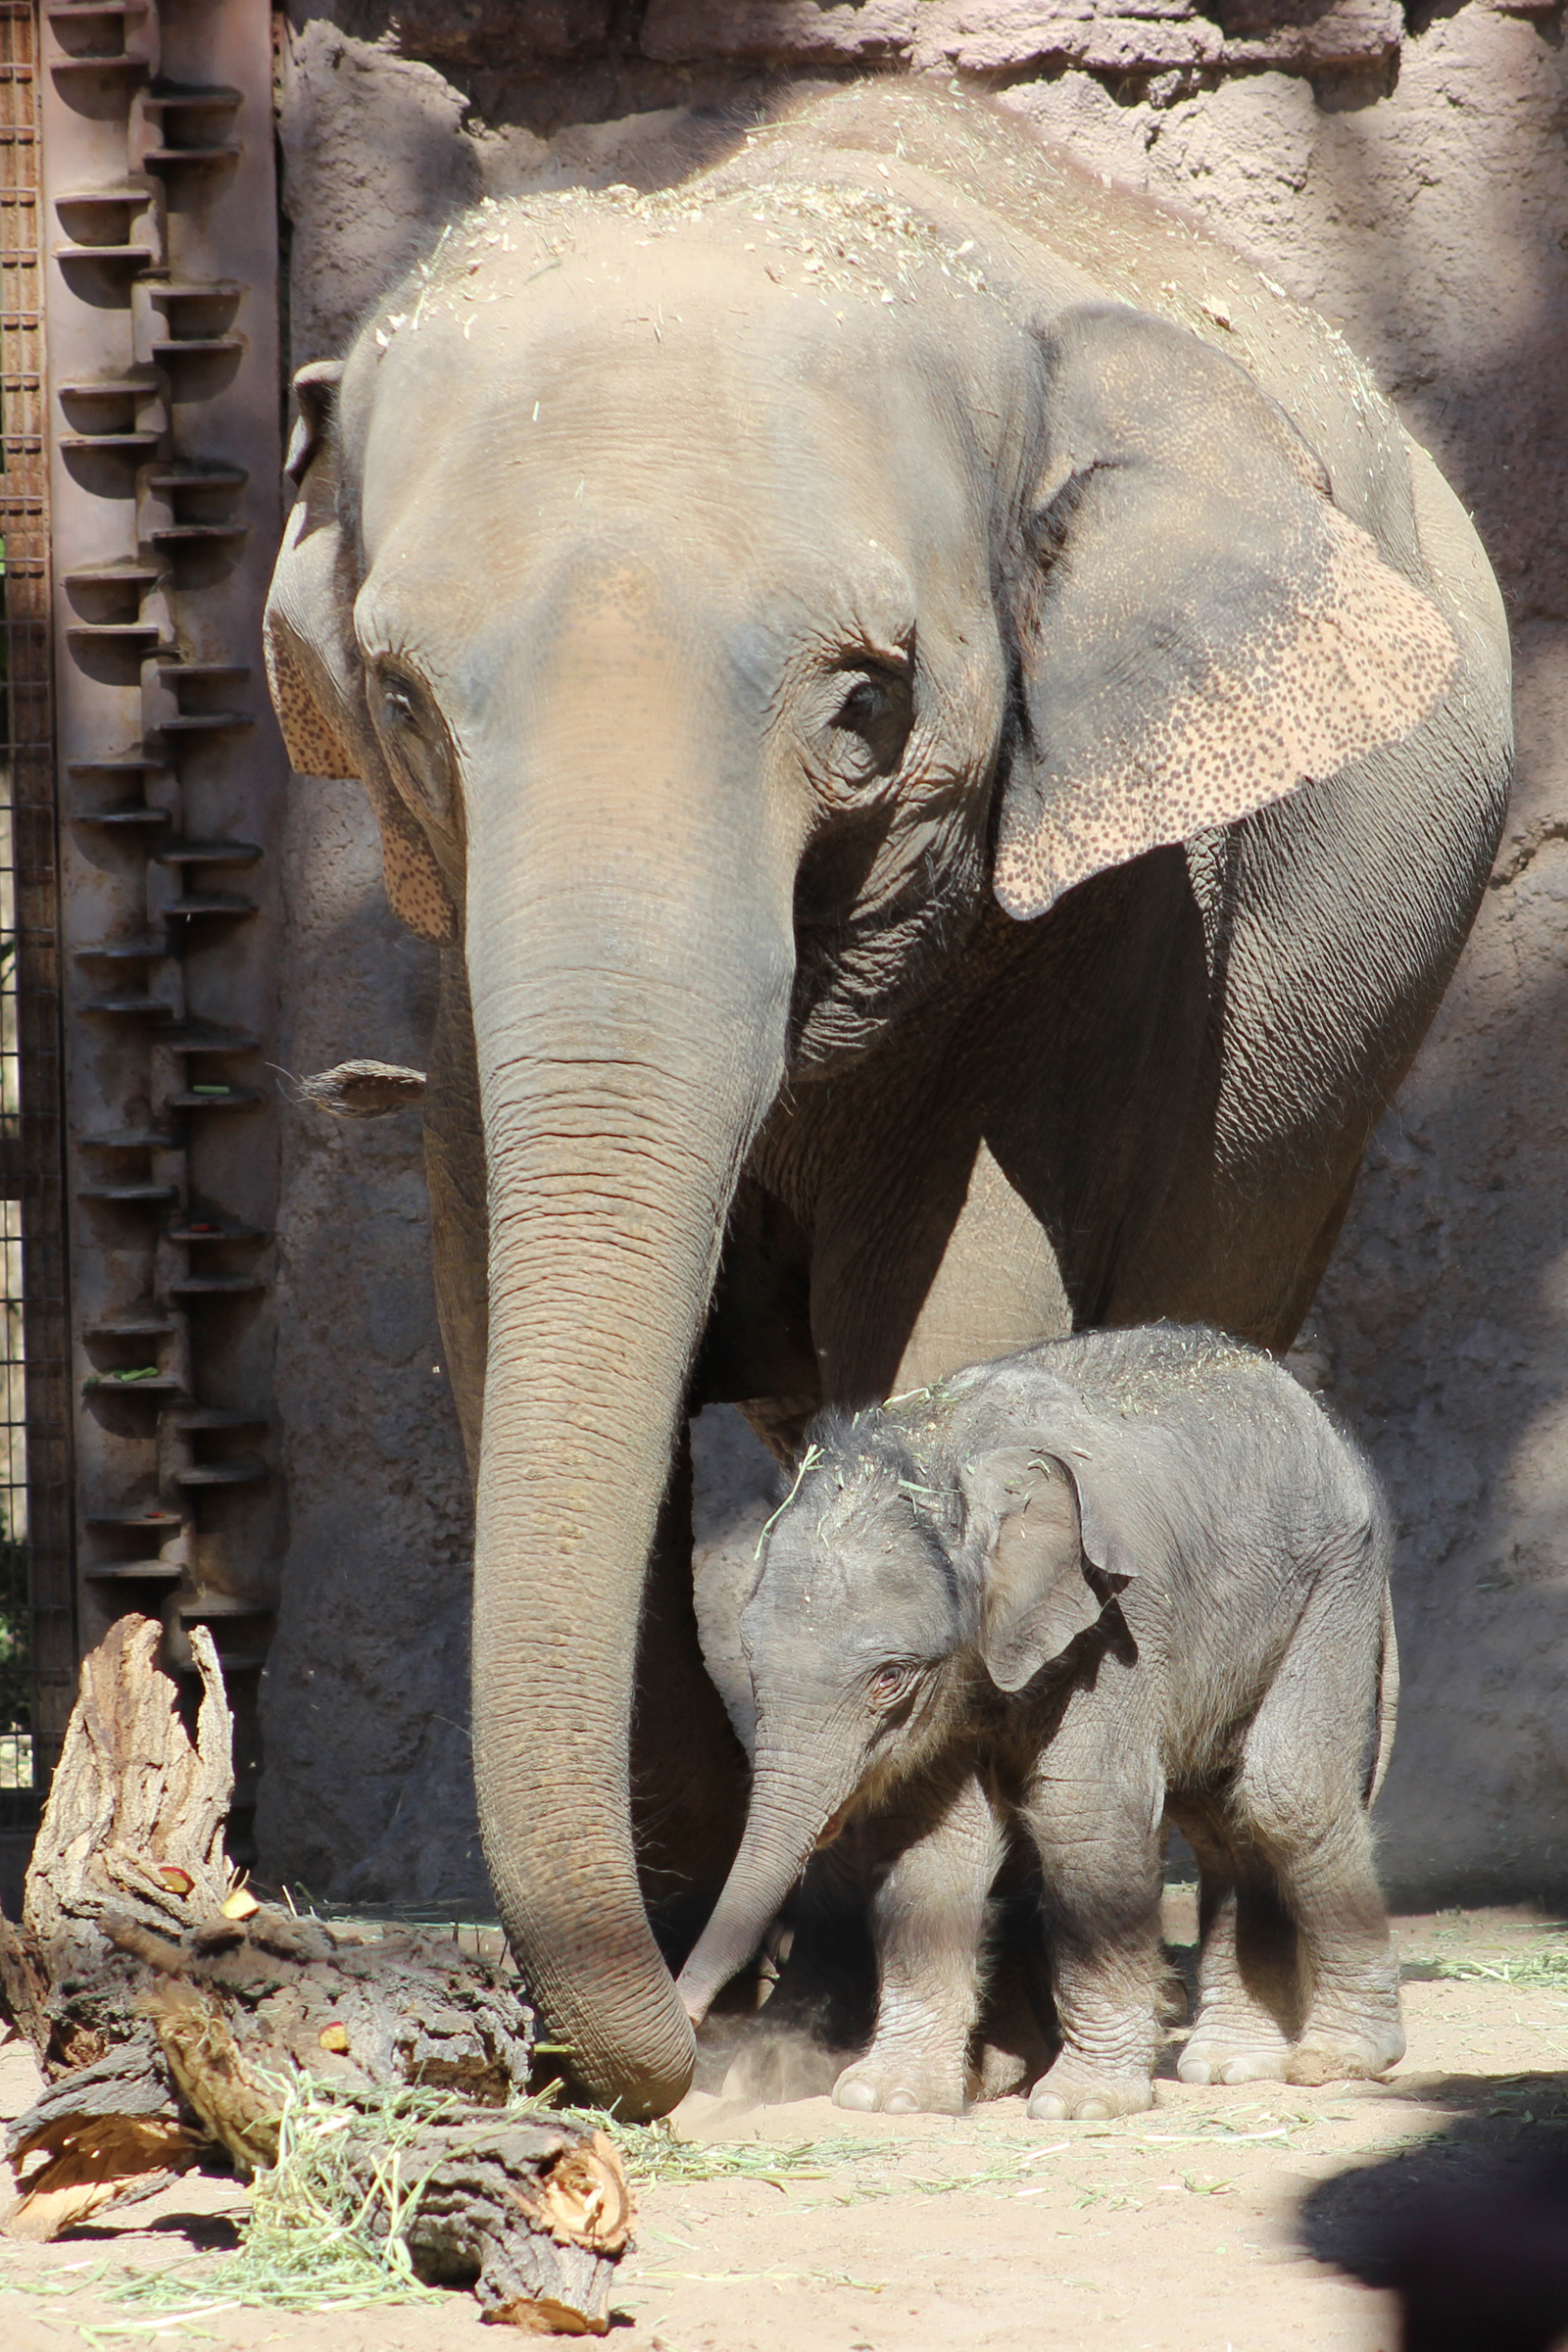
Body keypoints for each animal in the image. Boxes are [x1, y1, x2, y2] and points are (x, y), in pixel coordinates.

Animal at [681, 1326, 1400, 2135]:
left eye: (889, 1677)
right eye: (745, 1656)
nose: (691, 2026)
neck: (940, 1453)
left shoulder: (1117, 1619)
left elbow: (1082, 1815)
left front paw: (1080, 2105)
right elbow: (940, 1842)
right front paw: (888, 2097)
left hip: (1336, 1582)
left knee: (1286, 1793)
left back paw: (1340, 2058)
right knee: (1218, 1815)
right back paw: (1231, 2065)